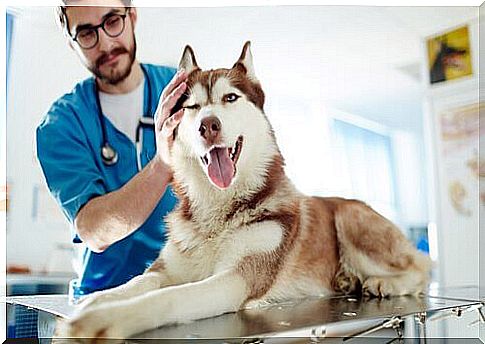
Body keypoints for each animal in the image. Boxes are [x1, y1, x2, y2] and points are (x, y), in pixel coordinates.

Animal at [61, 42, 432, 338]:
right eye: (191, 107)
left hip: (350, 217)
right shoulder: (166, 269)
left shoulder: (236, 279)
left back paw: (385, 282)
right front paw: (95, 301)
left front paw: (108, 318)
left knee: (422, 266)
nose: (208, 125)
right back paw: (347, 280)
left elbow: (170, 296)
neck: (217, 212)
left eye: (230, 98)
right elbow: (137, 283)